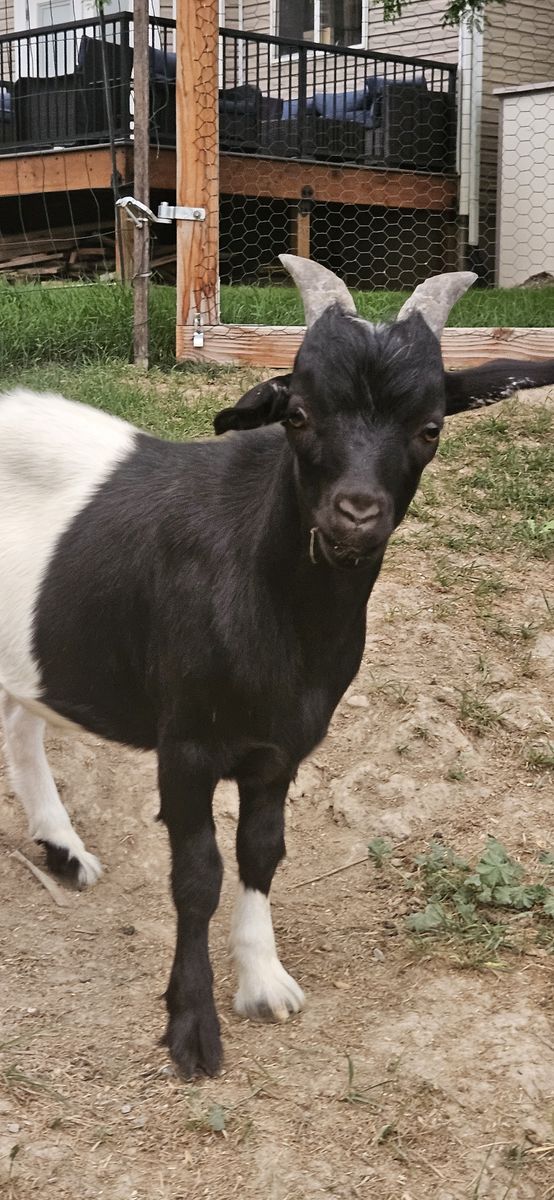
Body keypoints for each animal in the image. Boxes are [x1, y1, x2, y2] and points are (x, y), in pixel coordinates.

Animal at [1, 255, 553, 1079]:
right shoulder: (186, 744)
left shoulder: (282, 747)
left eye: (430, 427)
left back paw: (63, 850)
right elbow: (197, 876)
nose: (354, 513)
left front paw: (263, 981)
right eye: (297, 414)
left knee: (20, 714)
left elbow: (261, 853)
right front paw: (192, 1026)